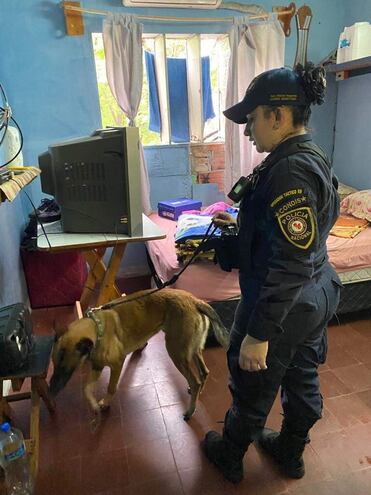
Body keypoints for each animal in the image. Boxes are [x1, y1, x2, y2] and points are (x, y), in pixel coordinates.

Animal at [49, 288, 230, 420]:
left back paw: (190, 410)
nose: (50, 391)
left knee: (196, 380)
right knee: (204, 372)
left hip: (176, 352)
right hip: (192, 350)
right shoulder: (97, 366)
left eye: (64, 368)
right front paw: (94, 405)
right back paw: (197, 394)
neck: (97, 328)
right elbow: (87, 389)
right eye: (55, 366)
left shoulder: (117, 364)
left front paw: (106, 403)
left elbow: (111, 387)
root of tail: (195, 301)